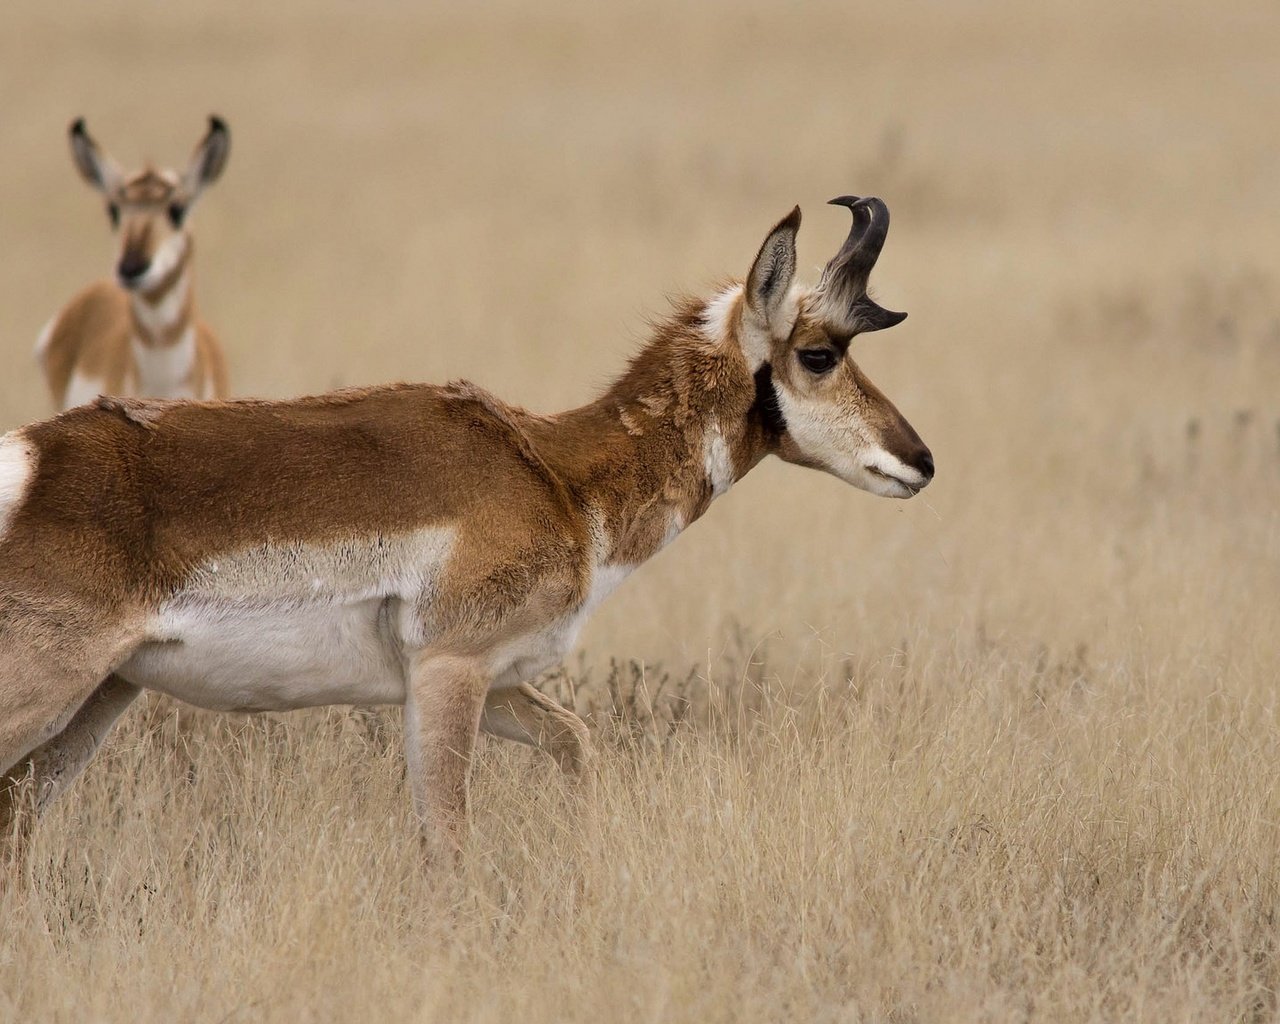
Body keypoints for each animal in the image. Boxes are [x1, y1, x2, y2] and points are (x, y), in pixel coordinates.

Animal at [5, 195, 936, 849]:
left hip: (102, 697)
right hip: (50, 689)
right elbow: (449, 845)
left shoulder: (492, 680)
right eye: (819, 354)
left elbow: (577, 742)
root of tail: (28, 459)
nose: (921, 460)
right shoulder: (449, 673)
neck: (555, 472)